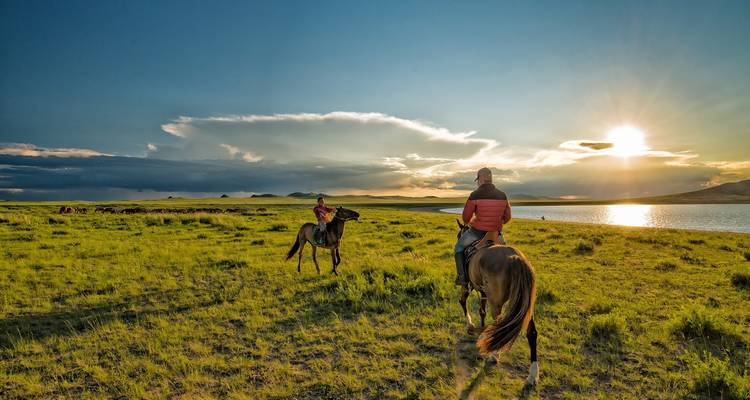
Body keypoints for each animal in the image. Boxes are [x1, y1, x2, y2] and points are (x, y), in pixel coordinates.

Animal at [456, 220, 539, 385]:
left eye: (458, 235)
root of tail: (515, 258)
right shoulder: (483, 292)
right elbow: (482, 311)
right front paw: (481, 330)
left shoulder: (467, 285)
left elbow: (463, 302)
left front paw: (471, 325)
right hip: (527, 306)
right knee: (532, 332)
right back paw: (532, 374)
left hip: (496, 304)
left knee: (500, 326)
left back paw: (493, 356)